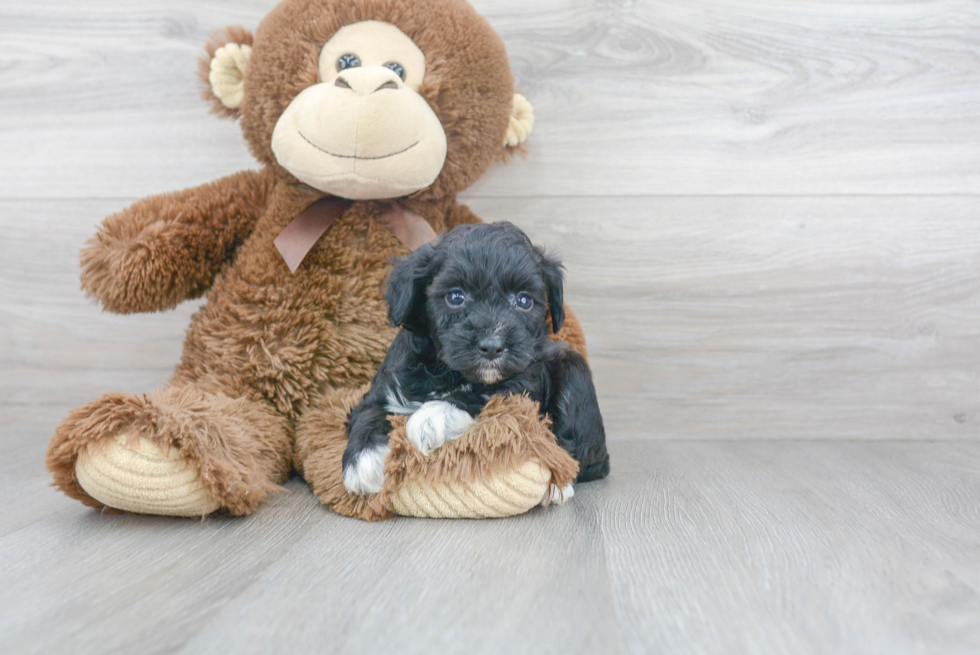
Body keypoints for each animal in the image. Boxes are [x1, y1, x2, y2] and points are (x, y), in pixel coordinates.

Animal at [340, 222, 608, 502]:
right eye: (456, 297)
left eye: (523, 300)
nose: (492, 345)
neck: (448, 372)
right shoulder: (386, 382)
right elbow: (368, 411)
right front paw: (364, 460)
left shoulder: (524, 381)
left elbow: (486, 394)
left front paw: (431, 417)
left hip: (573, 370)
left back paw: (558, 483)